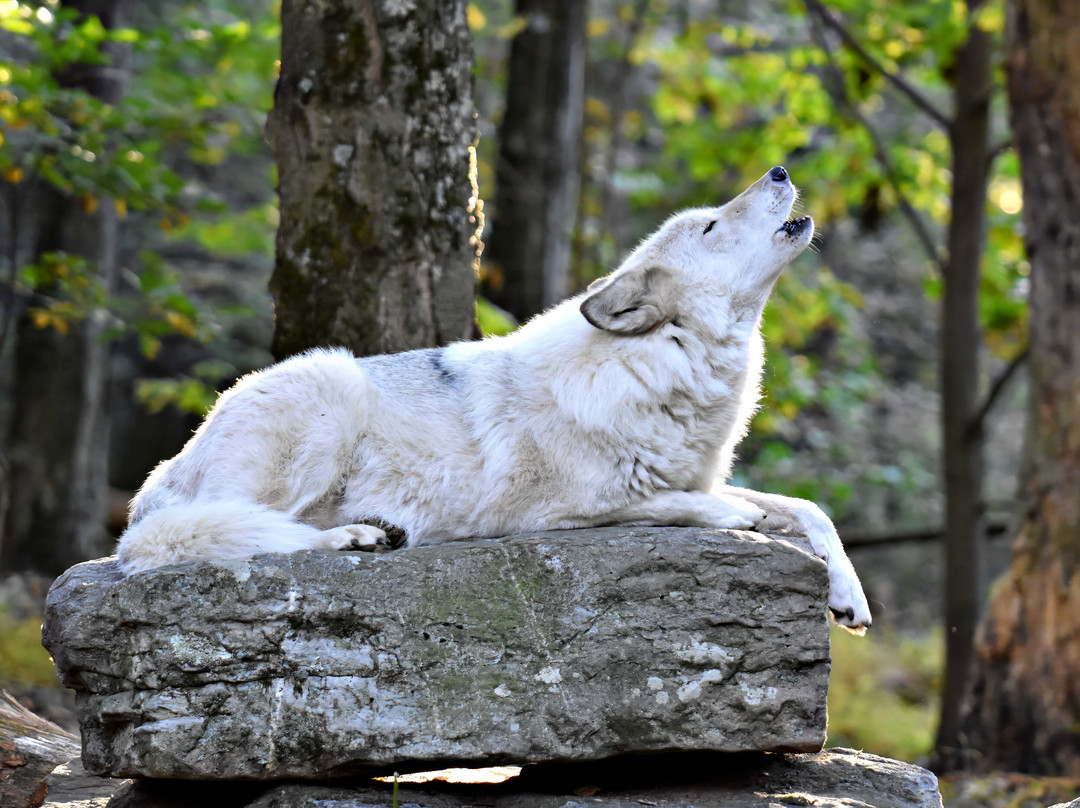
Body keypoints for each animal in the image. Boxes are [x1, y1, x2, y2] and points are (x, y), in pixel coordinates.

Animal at [117, 166, 871, 634]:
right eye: (711, 226)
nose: (779, 171)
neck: (661, 367)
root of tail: (155, 483)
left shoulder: (702, 471)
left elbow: (811, 510)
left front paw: (848, 596)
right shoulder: (553, 513)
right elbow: (684, 504)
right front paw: (735, 519)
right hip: (327, 388)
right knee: (243, 533)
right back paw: (355, 536)